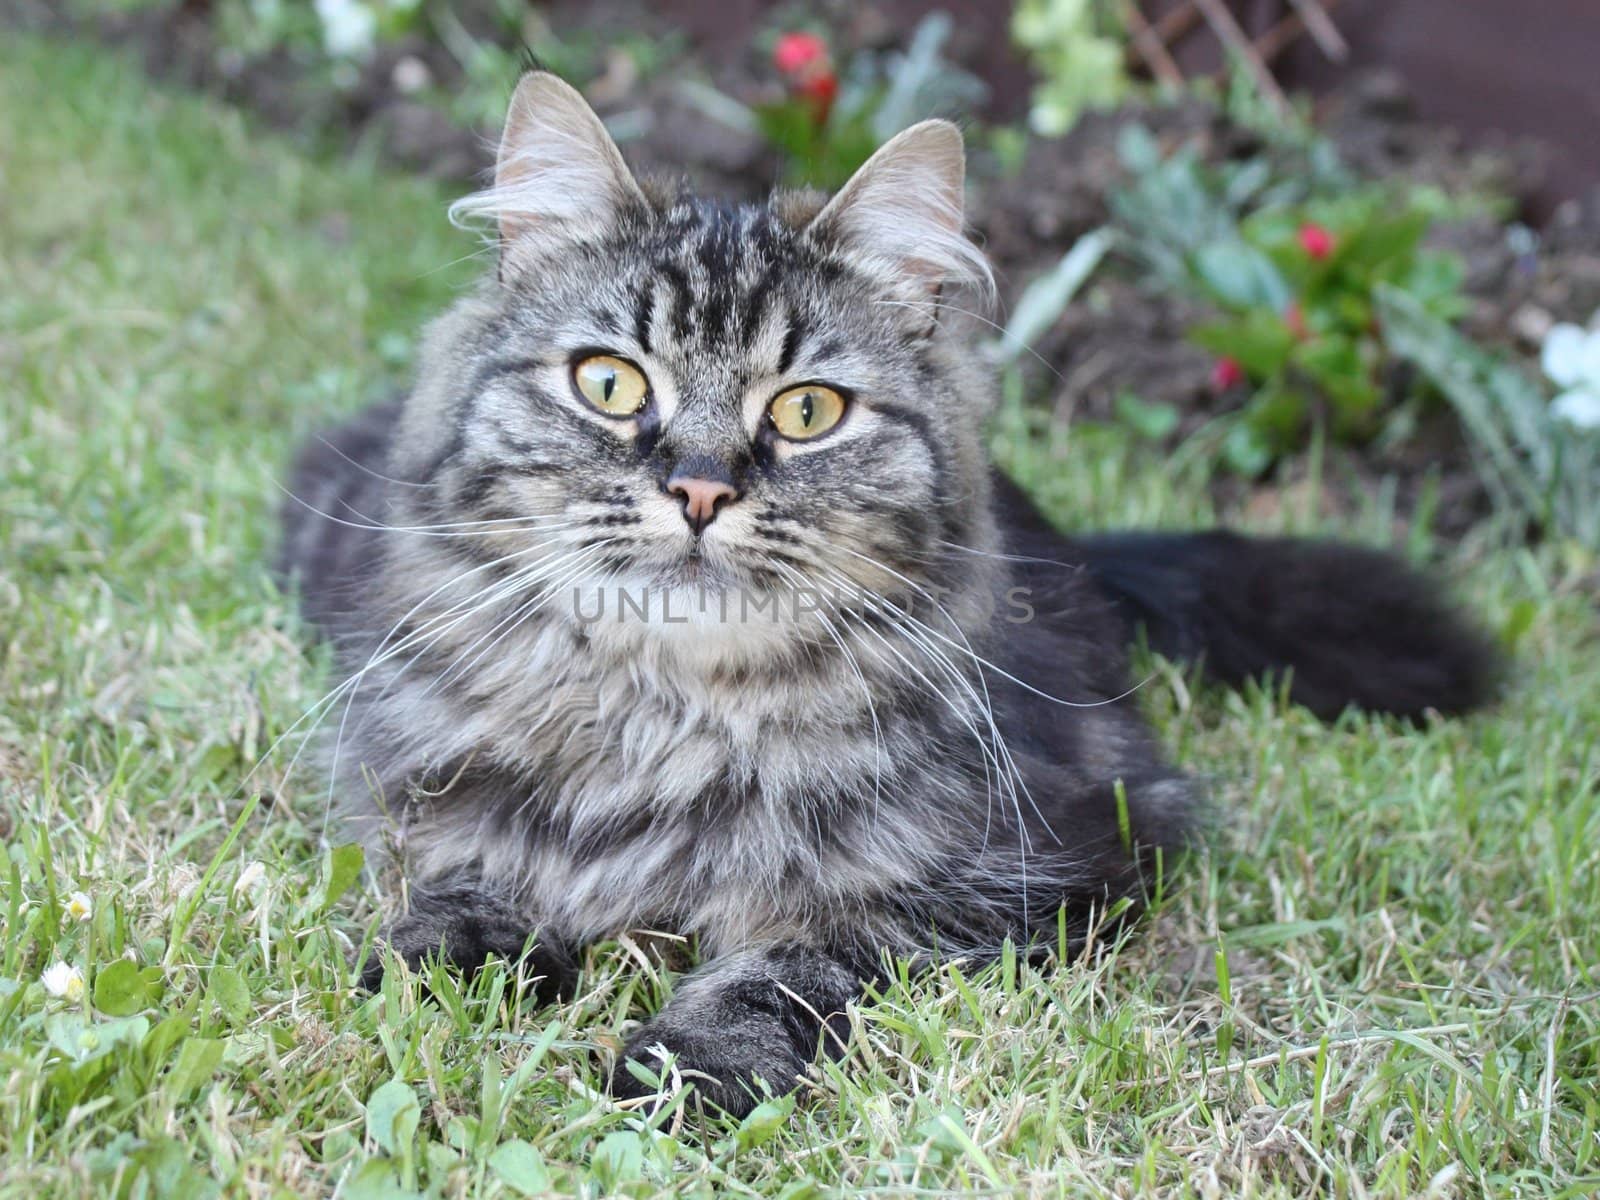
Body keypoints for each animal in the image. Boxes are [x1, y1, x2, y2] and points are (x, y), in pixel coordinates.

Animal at [278, 68, 1497, 1120]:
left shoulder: (1040, 862)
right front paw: (421, 977)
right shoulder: (445, 804)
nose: (700, 488)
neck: (666, 721)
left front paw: (680, 1072)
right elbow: (463, 892)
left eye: (808, 410)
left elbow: (800, 962)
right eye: (610, 384)